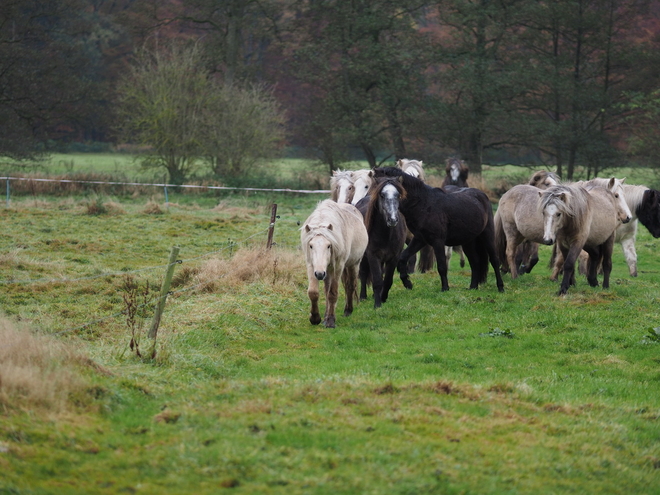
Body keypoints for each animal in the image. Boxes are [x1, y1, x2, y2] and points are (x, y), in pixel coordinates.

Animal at [302, 200, 368, 328]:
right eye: (311, 246)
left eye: (329, 246)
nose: (319, 274)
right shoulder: (311, 266)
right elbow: (313, 293)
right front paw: (315, 318)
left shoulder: (338, 267)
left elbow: (332, 293)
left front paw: (331, 321)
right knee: (327, 290)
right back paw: (325, 317)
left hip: (353, 265)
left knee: (350, 286)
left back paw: (348, 310)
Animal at [356, 174, 408, 306]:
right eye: (382, 195)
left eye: (398, 195)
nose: (392, 219)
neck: (386, 235)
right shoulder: (372, 256)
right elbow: (377, 281)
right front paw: (377, 305)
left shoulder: (394, 257)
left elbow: (387, 280)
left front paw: (383, 298)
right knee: (363, 274)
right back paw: (363, 296)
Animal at [372, 167, 506, 294]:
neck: (423, 203)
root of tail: (482, 195)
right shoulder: (420, 239)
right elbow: (403, 257)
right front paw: (407, 283)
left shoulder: (437, 241)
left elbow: (441, 266)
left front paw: (445, 288)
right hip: (468, 242)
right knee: (475, 262)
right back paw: (473, 287)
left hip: (487, 235)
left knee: (494, 260)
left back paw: (500, 287)